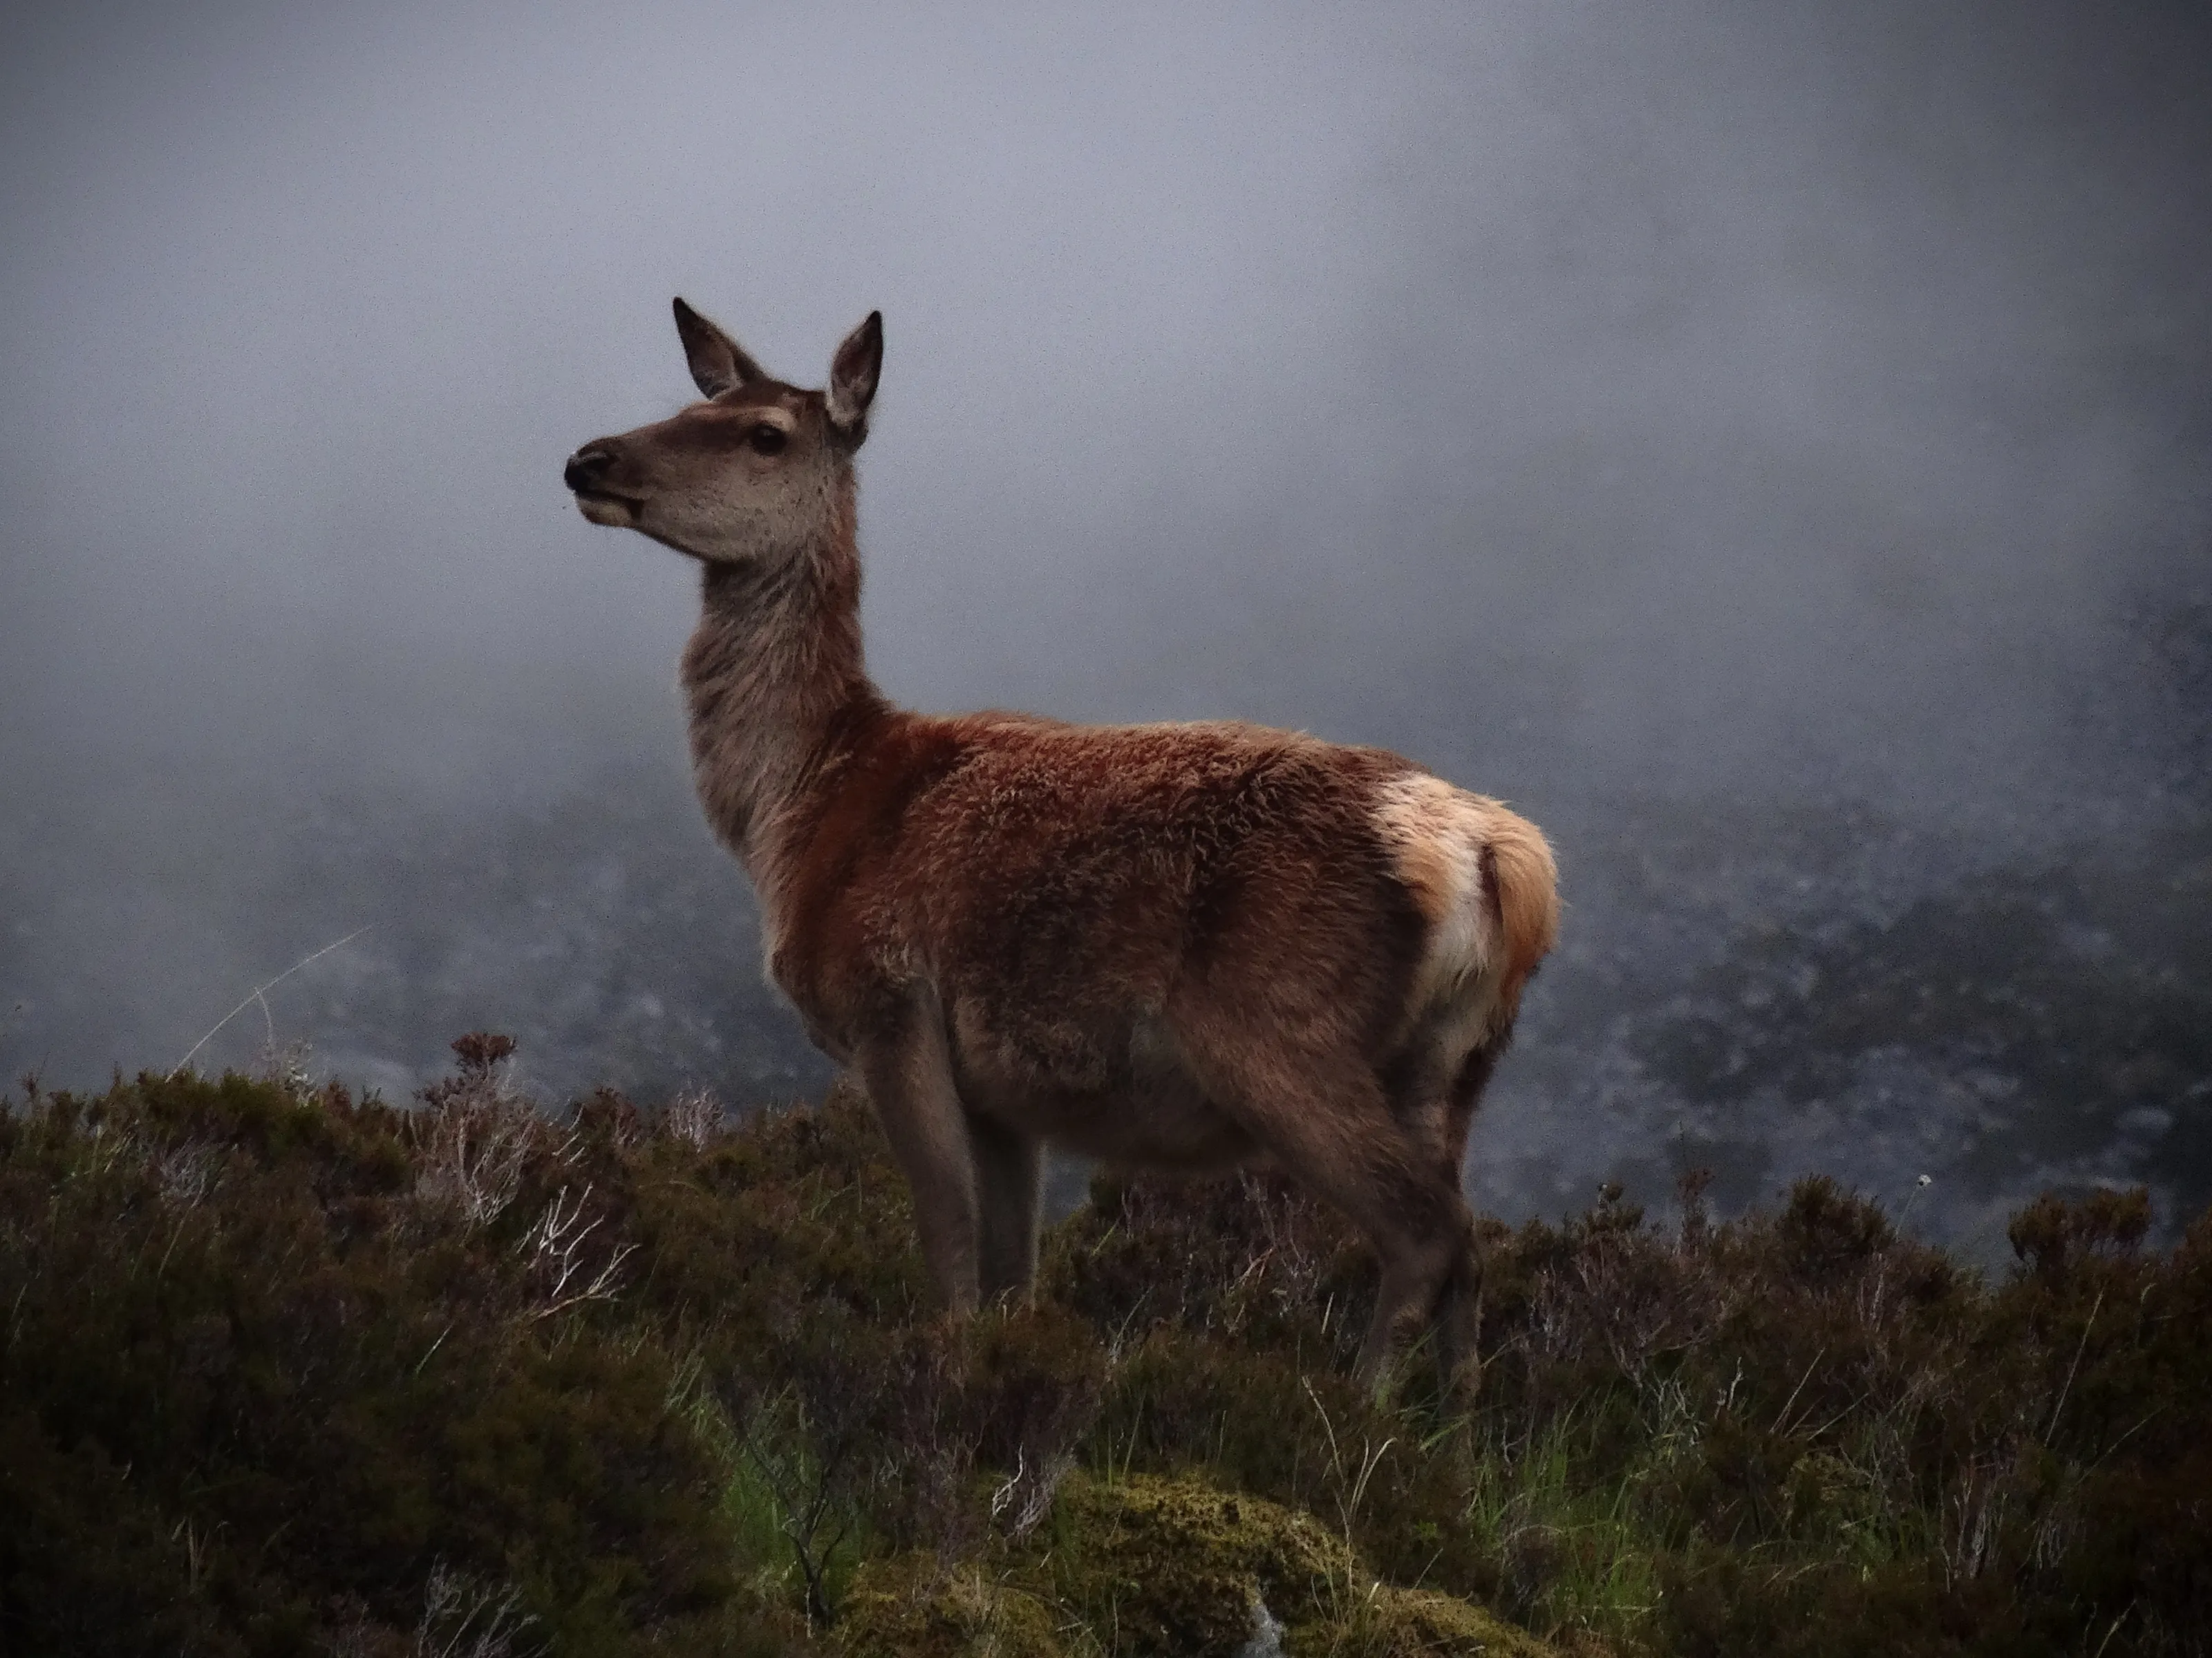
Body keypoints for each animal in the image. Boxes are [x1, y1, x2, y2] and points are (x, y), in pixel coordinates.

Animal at [563, 300, 1559, 1395]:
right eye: (690, 405)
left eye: (765, 434)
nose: (589, 459)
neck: (804, 814)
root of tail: (1492, 856)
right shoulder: (1003, 1086)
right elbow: (1012, 1262)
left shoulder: (887, 1001)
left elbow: (948, 1232)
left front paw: (947, 1375)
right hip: (1454, 1063)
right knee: (1470, 1242)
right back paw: (1455, 1427)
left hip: (1281, 1030)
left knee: (1425, 1232)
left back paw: (1362, 1410)